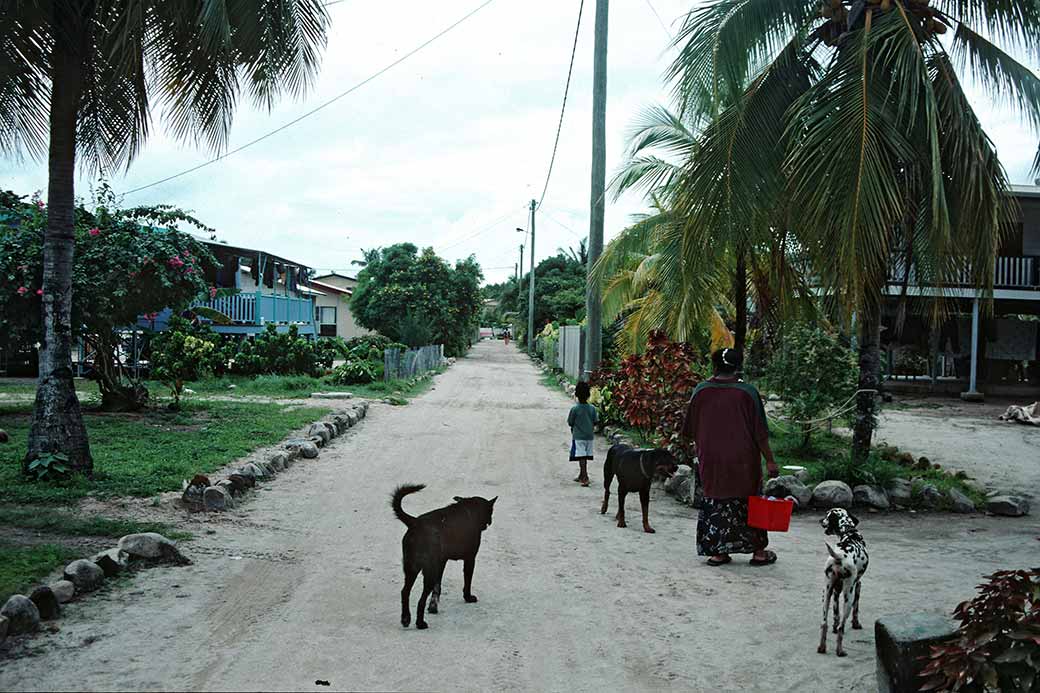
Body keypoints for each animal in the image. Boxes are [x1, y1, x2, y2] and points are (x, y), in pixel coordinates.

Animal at [393, 482, 499, 628]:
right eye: (490, 511)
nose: (490, 522)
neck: (470, 511)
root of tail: (415, 523)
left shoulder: (442, 561)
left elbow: (438, 587)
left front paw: (433, 606)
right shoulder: (470, 558)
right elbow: (467, 580)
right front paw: (468, 597)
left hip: (411, 568)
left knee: (405, 592)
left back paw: (405, 618)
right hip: (428, 571)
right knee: (421, 599)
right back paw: (420, 623)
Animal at [815, 505, 865, 657]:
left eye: (827, 515)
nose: (820, 520)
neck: (849, 533)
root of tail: (839, 556)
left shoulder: (836, 591)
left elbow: (835, 616)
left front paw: (834, 626)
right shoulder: (858, 585)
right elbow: (856, 609)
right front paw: (856, 624)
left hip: (826, 594)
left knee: (824, 623)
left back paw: (822, 647)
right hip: (848, 596)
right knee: (842, 627)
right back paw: (840, 651)